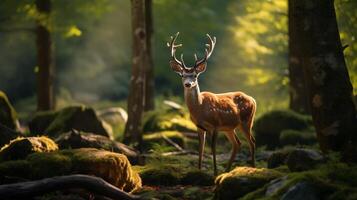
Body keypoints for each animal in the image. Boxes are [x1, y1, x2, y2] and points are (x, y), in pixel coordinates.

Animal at [167, 32, 256, 175]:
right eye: (182, 75)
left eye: (195, 75)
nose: (188, 84)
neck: (200, 109)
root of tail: (253, 99)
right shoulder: (199, 126)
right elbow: (201, 148)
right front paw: (198, 170)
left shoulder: (215, 125)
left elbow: (213, 148)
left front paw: (214, 172)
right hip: (229, 128)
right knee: (237, 144)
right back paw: (227, 170)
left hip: (247, 121)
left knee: (252, 142)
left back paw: (252, 167)